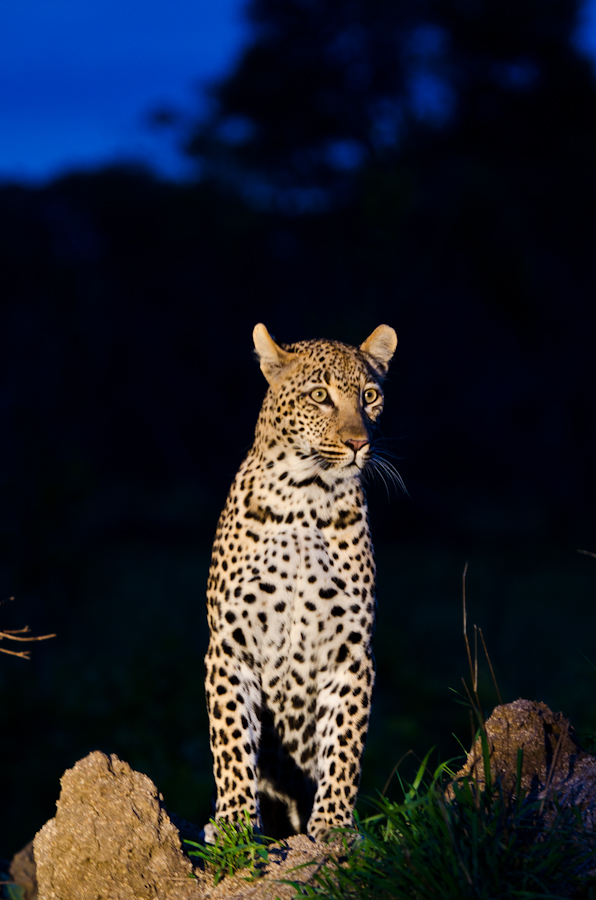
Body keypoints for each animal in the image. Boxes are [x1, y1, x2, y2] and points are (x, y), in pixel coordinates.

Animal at [203, 322, 398, 842]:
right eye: (319, 396)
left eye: (369, 396)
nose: (358, 443)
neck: (305, 498)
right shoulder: (230, 645)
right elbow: (231, 739)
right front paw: (234, 822)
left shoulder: (351, 651)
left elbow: (344, 742)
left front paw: (333, 824)